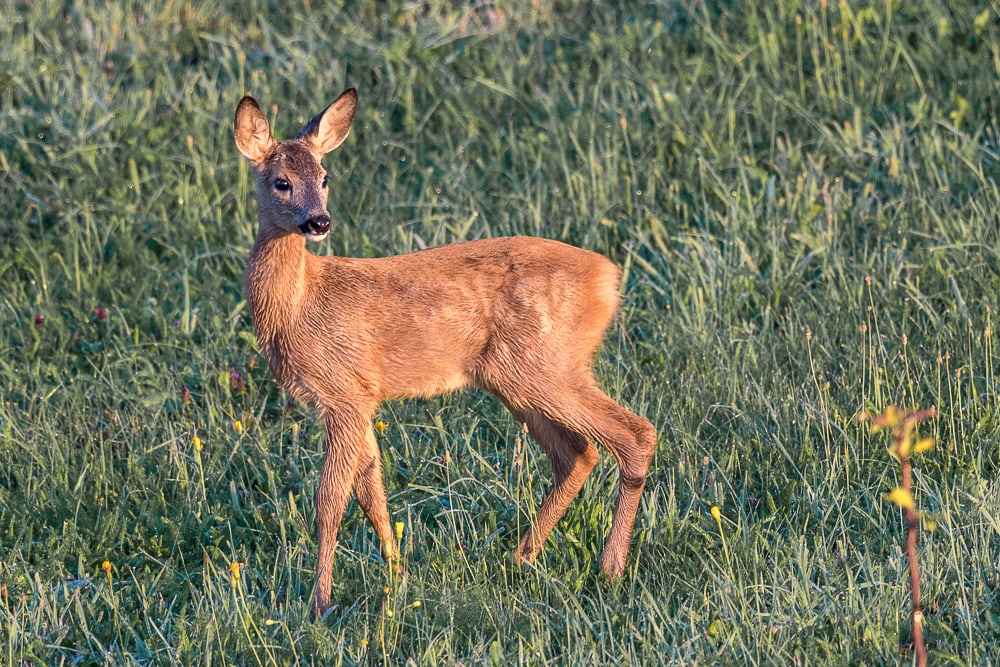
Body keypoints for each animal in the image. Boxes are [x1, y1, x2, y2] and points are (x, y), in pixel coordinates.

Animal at [233, 87, 656, 616]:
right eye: (282, 181)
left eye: (325, 178)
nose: (319, 221)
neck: (300, 305)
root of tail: (609, 279)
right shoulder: (363, 397)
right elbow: (372, 492)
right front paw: (397, 573)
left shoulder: (343, 393)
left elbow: (330, 502)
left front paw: (319, 603)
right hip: (521, 377)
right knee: (579, 453)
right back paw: (521, 556)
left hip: (543, 365)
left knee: (634, 434)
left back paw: (610, 567)